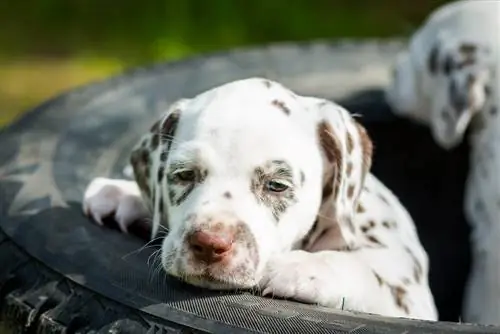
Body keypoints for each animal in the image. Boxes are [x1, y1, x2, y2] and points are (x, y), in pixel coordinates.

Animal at [84, 77, 436, 320]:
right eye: (184, 175)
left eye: (276, 185)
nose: (209, 244)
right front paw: (122, 193)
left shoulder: (409, 297)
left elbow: (367, 272)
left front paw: (302, 267)